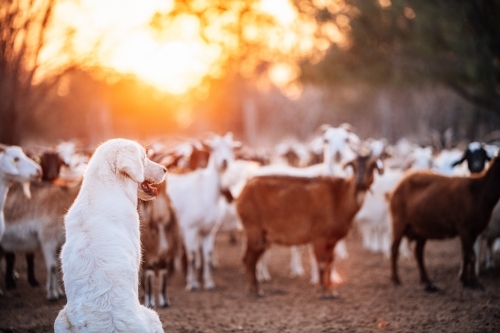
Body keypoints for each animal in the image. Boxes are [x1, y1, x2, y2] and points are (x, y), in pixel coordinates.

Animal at [139, 180, 182, 308]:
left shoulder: (166, 256)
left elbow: (164, 277)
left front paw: (164, 301)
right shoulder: (148, 255)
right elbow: (149, 277)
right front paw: (150, 302)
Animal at [236, 152, 380, 296]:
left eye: (372, 166)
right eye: (353, 166)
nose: (360, 182)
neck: (338, 198)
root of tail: (243, 190)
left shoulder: (332, 240)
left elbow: (329, 262)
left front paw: (329, 289)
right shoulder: (319, 237)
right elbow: (322, 263)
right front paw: (325, 291)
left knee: (250, 259)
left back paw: (254, 288)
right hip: (254, 228)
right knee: (248, 259)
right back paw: (256, 290)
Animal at [388, 154, 500, 290]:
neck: (480, 191)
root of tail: (399, 184)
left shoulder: (474, 230)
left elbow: (466, 255)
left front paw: (465, 280)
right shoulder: (464, 228)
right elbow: (471, 256)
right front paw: (474, 282)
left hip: (421, 229)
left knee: (418, 252)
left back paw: (426, 281)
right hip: (399, 222)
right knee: (394, 249)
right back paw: (396, 280)